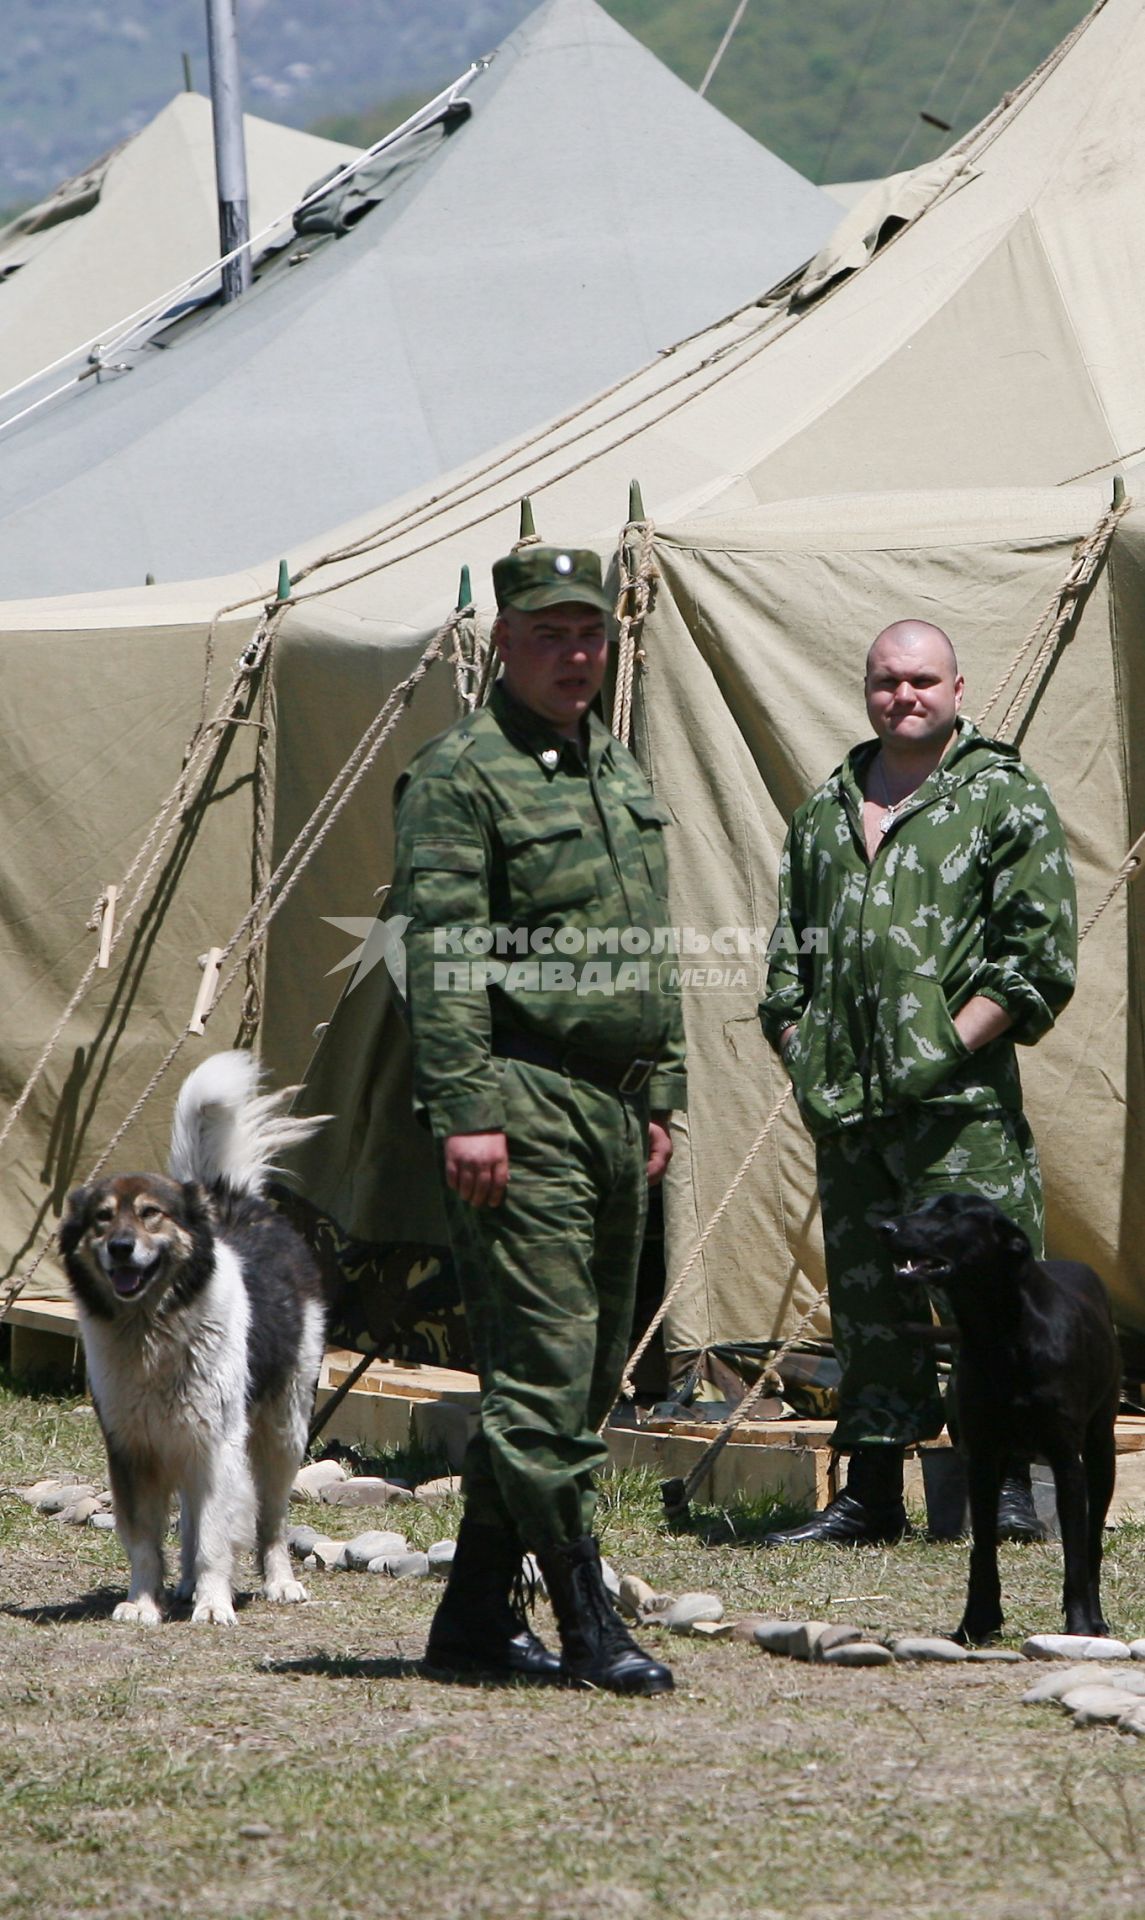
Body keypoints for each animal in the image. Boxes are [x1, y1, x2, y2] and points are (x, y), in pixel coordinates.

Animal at [59, 1059, 326, 1628]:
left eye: (150, 1213)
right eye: (102, 1218)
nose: (120, 1248)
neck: (153, 1331)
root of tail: (229, 1193)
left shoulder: (217, 1444)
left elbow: (215, 1538)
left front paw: (214, 1604)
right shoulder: (133, 1448)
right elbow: (145, 1539)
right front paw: (144, 1602)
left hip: (283, 1430)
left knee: (271, 1520)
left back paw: (280, 1582)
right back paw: (182, 1586)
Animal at [876, 1190, 1121, 1643]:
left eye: (948, 1212)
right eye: (921, 1206)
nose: (884, 1227)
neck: (1003, 1335)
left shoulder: (1067, 1461)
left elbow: (1076, 1554)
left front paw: (1079, 1623)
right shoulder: (983, 1458)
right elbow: (983, 1551)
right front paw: (977, 1622)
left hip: (1101, 1451)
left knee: (1092, 1541)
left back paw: (1095, 1619)